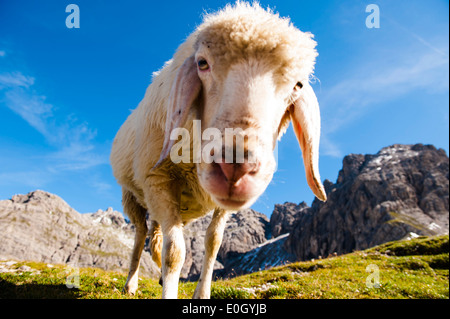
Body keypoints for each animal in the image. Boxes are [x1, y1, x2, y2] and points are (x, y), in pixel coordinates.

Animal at [110, 1, 326, 300]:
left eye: (298, 84)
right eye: (202, 63)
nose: (235, 166)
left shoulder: (221, 206)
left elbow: (213, 242)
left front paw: (201, 293)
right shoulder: (157, 179)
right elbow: (174, 252)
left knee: (155, 235)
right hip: (133, 196)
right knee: (141, 234)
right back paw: (131, 284)